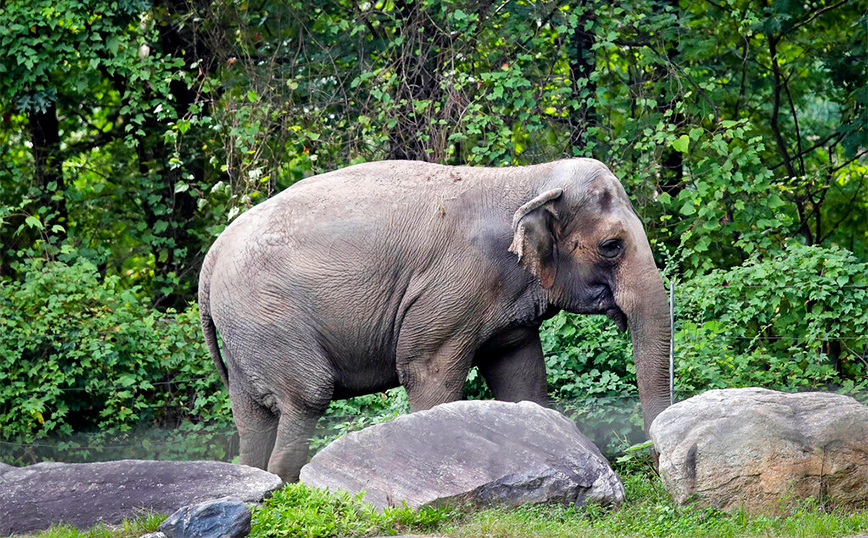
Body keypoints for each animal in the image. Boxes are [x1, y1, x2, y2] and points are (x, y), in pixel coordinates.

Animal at [202, 157, 672, 480]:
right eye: (611, 247)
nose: (655, 464)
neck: (527, 178)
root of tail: (213, 255)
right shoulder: (451, 288)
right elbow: (429, 373)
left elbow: (522, 376)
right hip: (269, 315)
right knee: (306, 397)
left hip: (246, 333)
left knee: (251, 416)